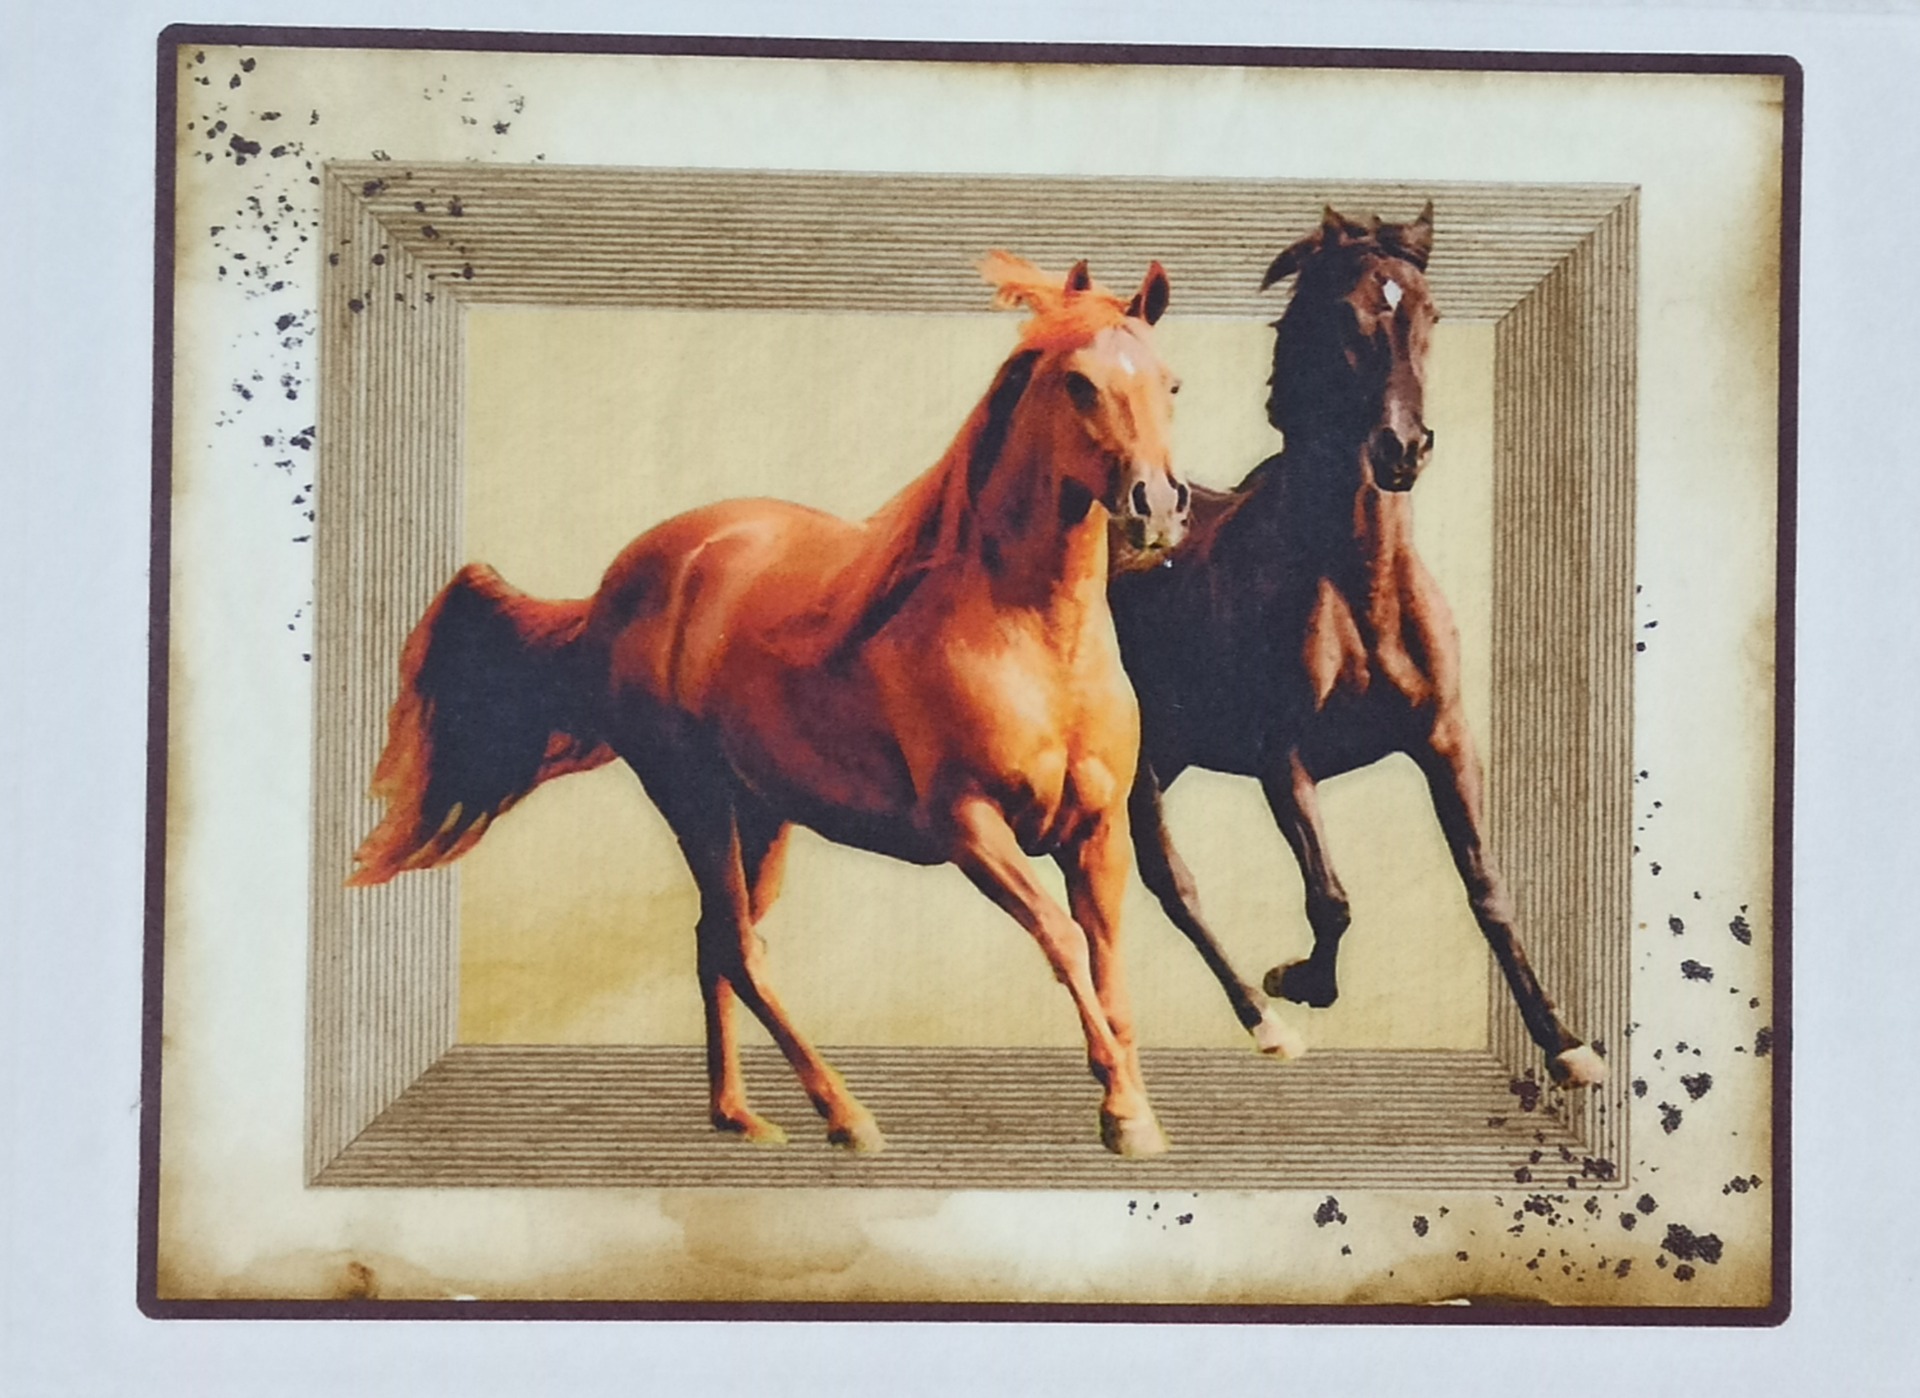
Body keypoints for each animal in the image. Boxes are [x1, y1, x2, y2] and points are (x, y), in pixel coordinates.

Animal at [349, 254, 1192, 1157]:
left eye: (1171, 383)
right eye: (1079, 383)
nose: (1157, 504)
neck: (1030, 639)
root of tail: (616, 589)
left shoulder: (1096, 830)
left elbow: (1108, 960)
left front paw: (1132, 1112)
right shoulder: (969, 825)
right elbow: (1063, 942)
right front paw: (1125, 1112)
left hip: (761, 812)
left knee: (717, 940)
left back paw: (740, 1113)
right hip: (692, 797)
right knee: (739, 946)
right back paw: (844, 1115)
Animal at [1109, 206, 1607, 1088]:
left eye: (1431, 314)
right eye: (1345, 316)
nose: (1401, 449)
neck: (1358, 588)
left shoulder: (1444, 740)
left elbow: (1488, 891)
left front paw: (1565, 1043)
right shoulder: (1283, 759)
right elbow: (1331, 898)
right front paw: (1300, 980)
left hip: (1170, 749)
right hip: (1135, 756)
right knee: (1171, 879)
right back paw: (1266, 1021)